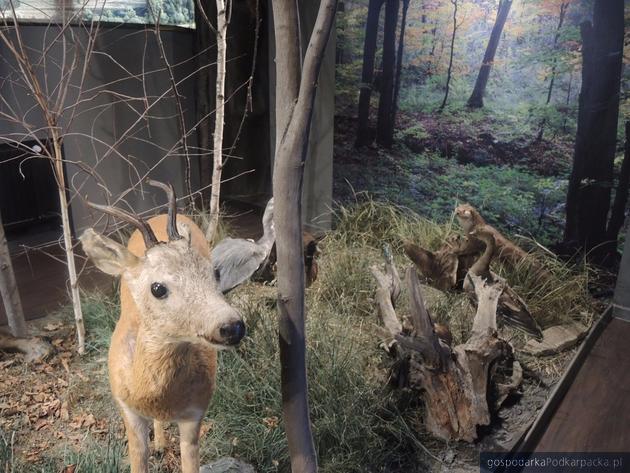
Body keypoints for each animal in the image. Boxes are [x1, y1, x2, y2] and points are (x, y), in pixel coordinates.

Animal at [79, 179, 247, 470]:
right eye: (157, 288)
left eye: (214, 272)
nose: (232, 326)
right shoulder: (127, 409)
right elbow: (137, 460)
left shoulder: (196, 412)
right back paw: (159, 444)